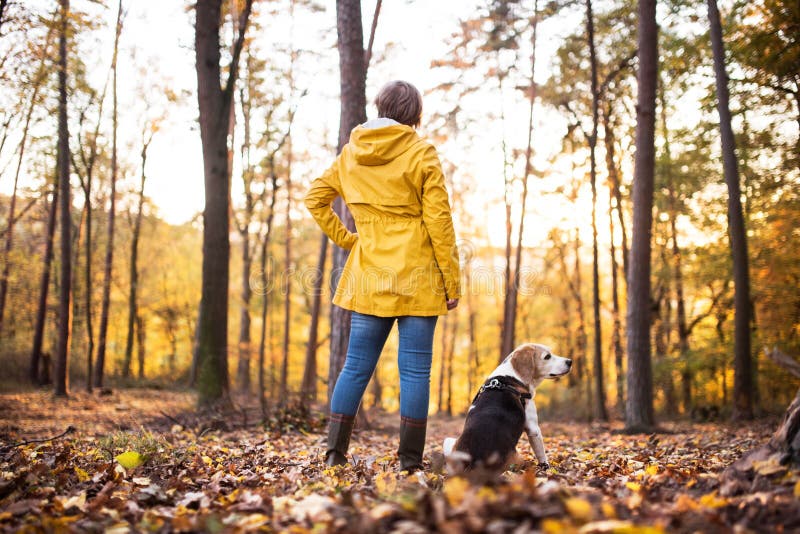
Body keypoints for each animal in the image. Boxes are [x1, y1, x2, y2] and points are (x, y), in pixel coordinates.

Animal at [440, 344, 572, 474]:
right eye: (547, 356)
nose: (570, 361)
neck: (512, 376)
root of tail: (476, 462)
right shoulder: (533, 429)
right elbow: (541, 453)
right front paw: (546, 466)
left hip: (448, 442)